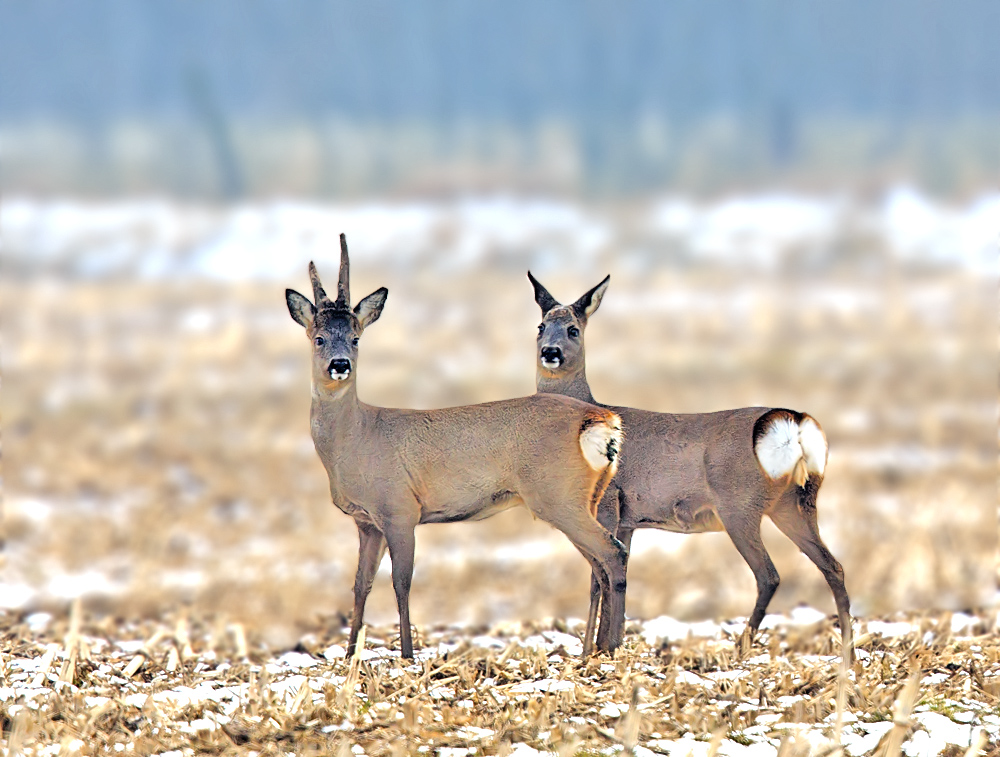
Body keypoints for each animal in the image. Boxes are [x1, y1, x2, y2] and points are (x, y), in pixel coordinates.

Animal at [284, 236, 624, 656]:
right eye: (318, 338)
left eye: (355, 337)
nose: (340, 364)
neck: (356, 439)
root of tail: (602, 420)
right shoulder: (367, 522)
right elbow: (361, 584)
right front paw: (349, 656)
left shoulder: (400, 509)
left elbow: (401, 582)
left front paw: (408, 654)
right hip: (582, 498)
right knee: (599, 565)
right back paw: (596, 649)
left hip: (559, 496)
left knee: (612, 552)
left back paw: (612, 647)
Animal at [528, 272, 848, 656]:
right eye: (540, 326)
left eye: (573, 329)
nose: (550, 352)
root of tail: (794, 420)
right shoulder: (628, 519)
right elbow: (615, 572)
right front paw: (603, 645)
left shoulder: (607, 502)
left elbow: (598, 576)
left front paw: (597, 650)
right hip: (796, 503)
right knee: (834, 567)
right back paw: (849, 654)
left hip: (739, 505)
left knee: (769, 575)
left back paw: (740, 648)